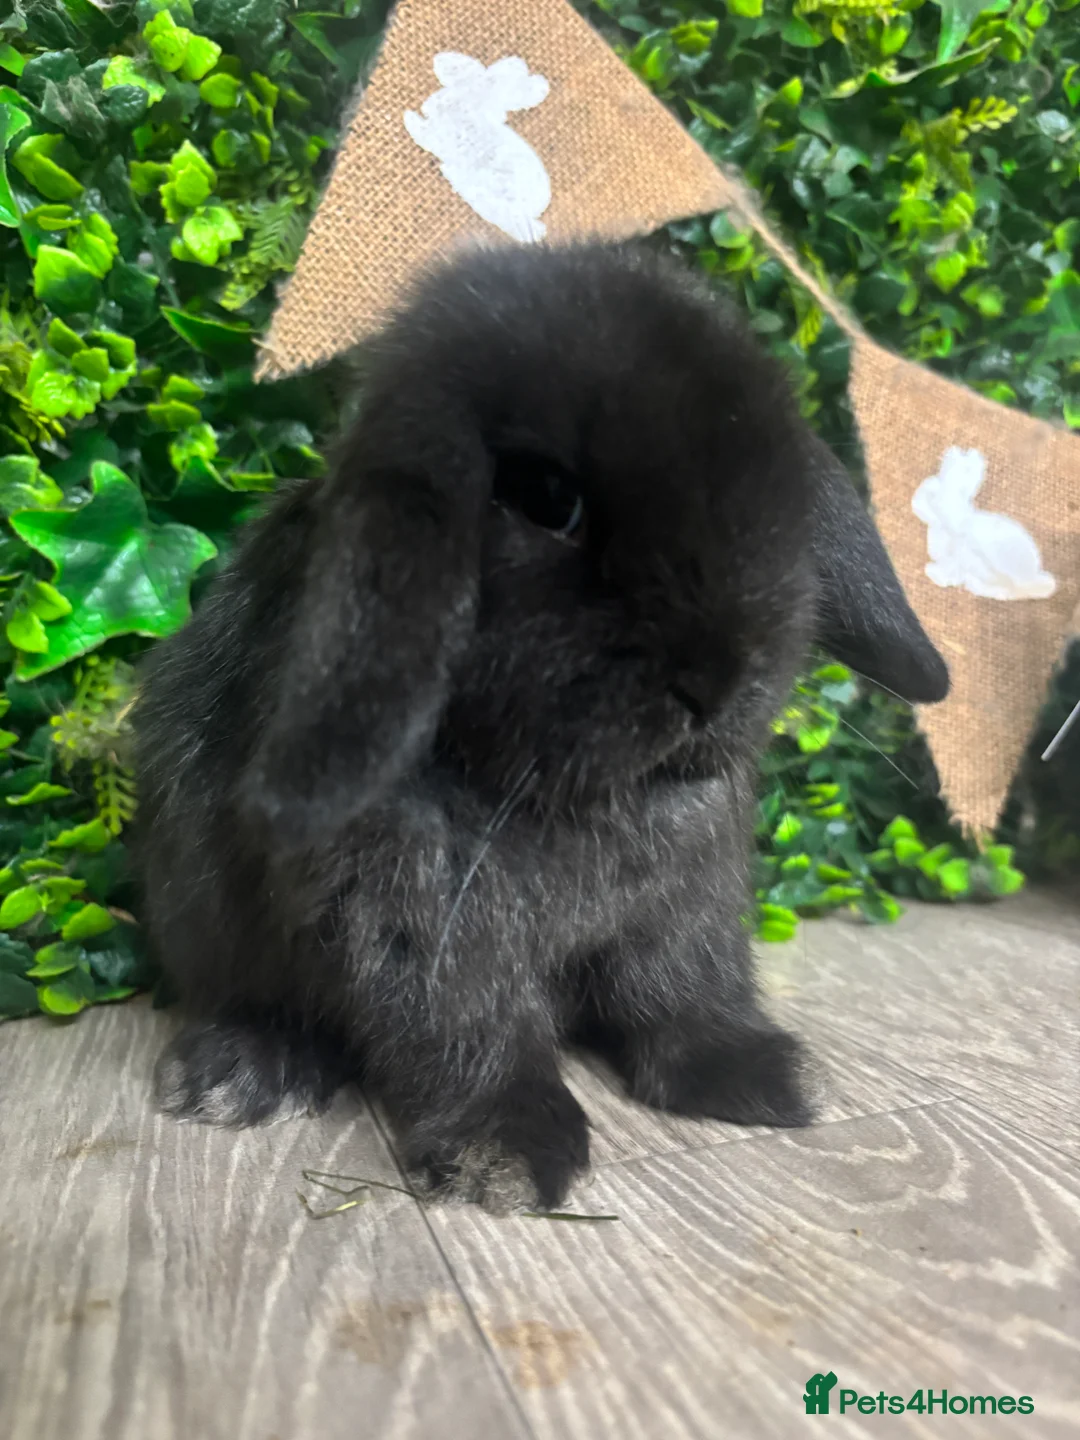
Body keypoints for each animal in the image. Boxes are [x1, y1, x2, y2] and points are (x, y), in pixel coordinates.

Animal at [134, 242, 948, 1214]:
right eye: (546, 499)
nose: (717, 680)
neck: (572, 791)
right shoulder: (415, 914)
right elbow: (469, 1023)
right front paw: (508, 1156)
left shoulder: (682, 910)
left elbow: (683, 992)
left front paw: (759, 1076)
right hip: (200, 903)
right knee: (247, 993)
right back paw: (242, 1073)